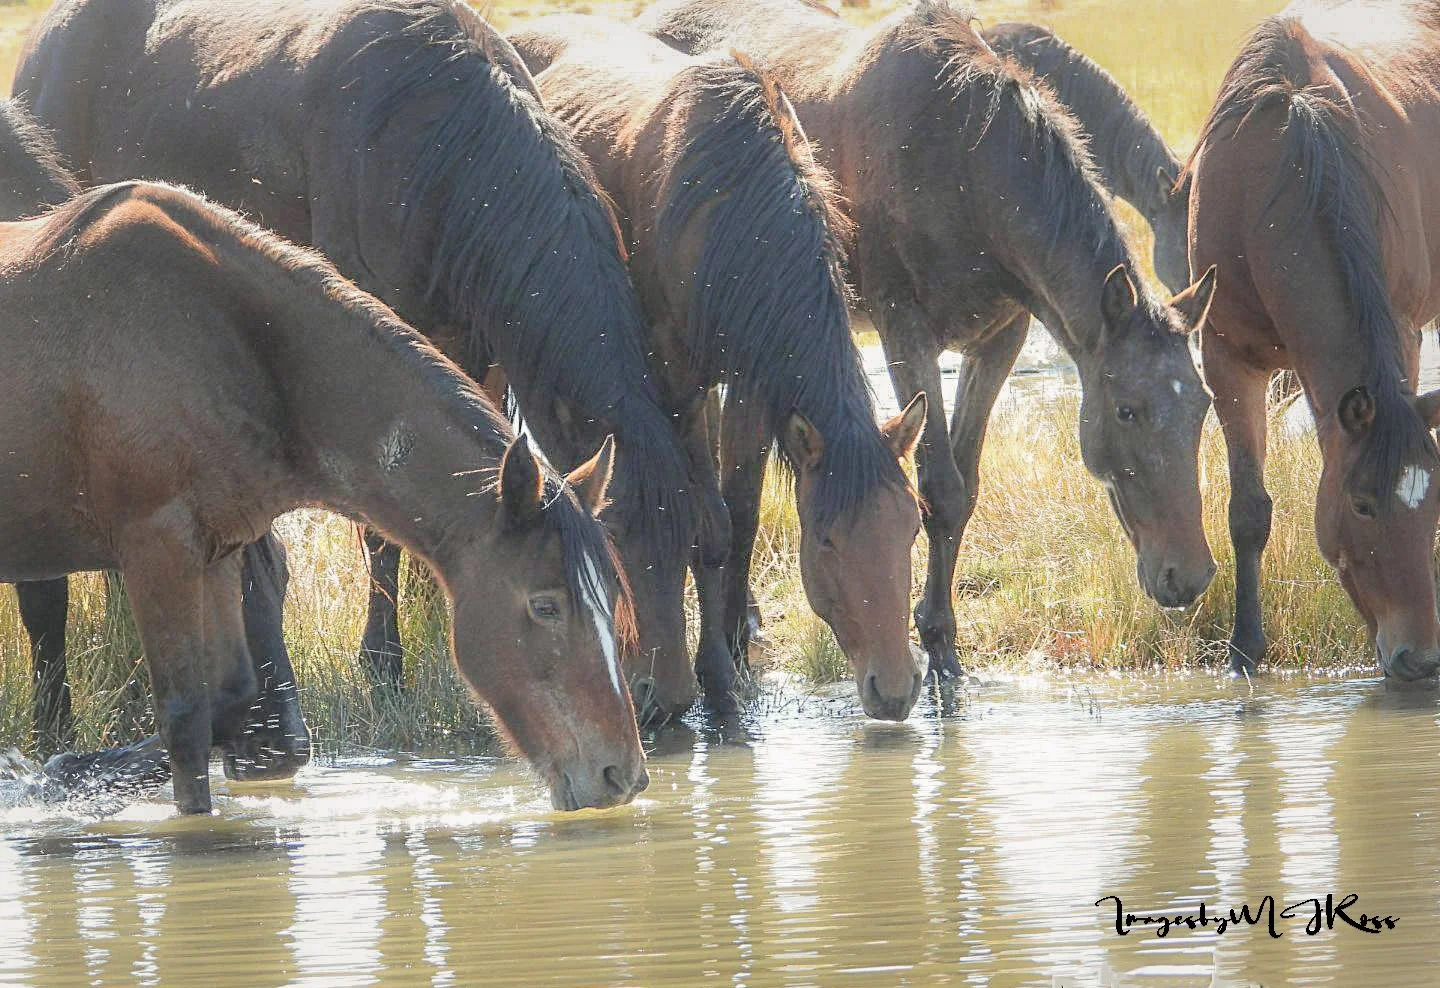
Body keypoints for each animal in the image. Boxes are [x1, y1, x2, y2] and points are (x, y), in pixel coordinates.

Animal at [0, 179, 647, 814]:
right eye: (545, 605)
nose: (622, 774)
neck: (226, 336)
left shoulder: (215, 550)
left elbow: (228, 699)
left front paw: (69, 773)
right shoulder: (157, 548)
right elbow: (184, 719)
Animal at [15, 0, 714, 720]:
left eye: (693, 537)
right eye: (616, 539)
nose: (666, 701)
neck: (441, 151)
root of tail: (45, 43)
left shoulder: (479, 359)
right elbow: (382, 530)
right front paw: (384, 663)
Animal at [509, 16, 929, 719]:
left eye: (914, 527)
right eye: (825, 540)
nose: (895, 692)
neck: (731, 212)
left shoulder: (751, 386)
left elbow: (738, 514)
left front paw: (728, 655)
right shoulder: (674, 381)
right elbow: (704, 524)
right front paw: (712, 674)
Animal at [1187, 0, 1440, 680]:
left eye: (1433, 505)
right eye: (1362, 503)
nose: (1420, 661)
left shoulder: (1403, 333)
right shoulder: (1226, 356)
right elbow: (1249, 511)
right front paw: (1245, 649)